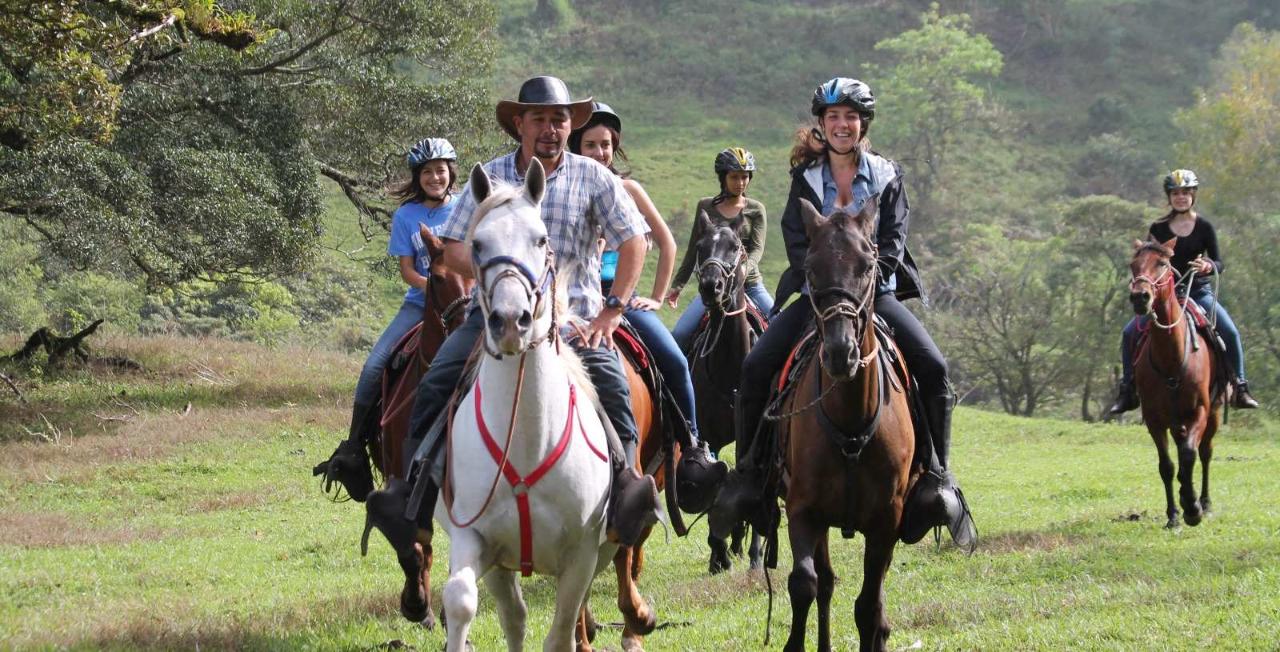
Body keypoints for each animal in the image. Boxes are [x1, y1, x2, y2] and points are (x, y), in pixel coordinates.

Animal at [437, 158, 616, 650]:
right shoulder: (474, 536)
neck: (527, 439)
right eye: (478, 244)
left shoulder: (582, 554)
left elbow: (561, 632)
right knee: (513, 617)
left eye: (540, 238)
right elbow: (461, 601)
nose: (509, 322)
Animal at [773, 199, 916, 650]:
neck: (851, 420)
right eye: (811, 266)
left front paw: (876, 628)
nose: (840, 352)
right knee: (825, 583)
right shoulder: (803, 509)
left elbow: (868, 606)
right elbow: (804, 584)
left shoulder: (887, 522)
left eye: (869, 264)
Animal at [1126, 236, 1223, 525]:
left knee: (1205, 453)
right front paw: (1173, 515)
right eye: (1133, 265)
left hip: (1214, 412)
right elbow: (1167, 466)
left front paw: (1192, 507)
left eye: (1162, 263)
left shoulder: (1199, 411)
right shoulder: (1155, 419)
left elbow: (1190, 455)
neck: (1172, 358)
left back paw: (1205, 502)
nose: (1140, 296)